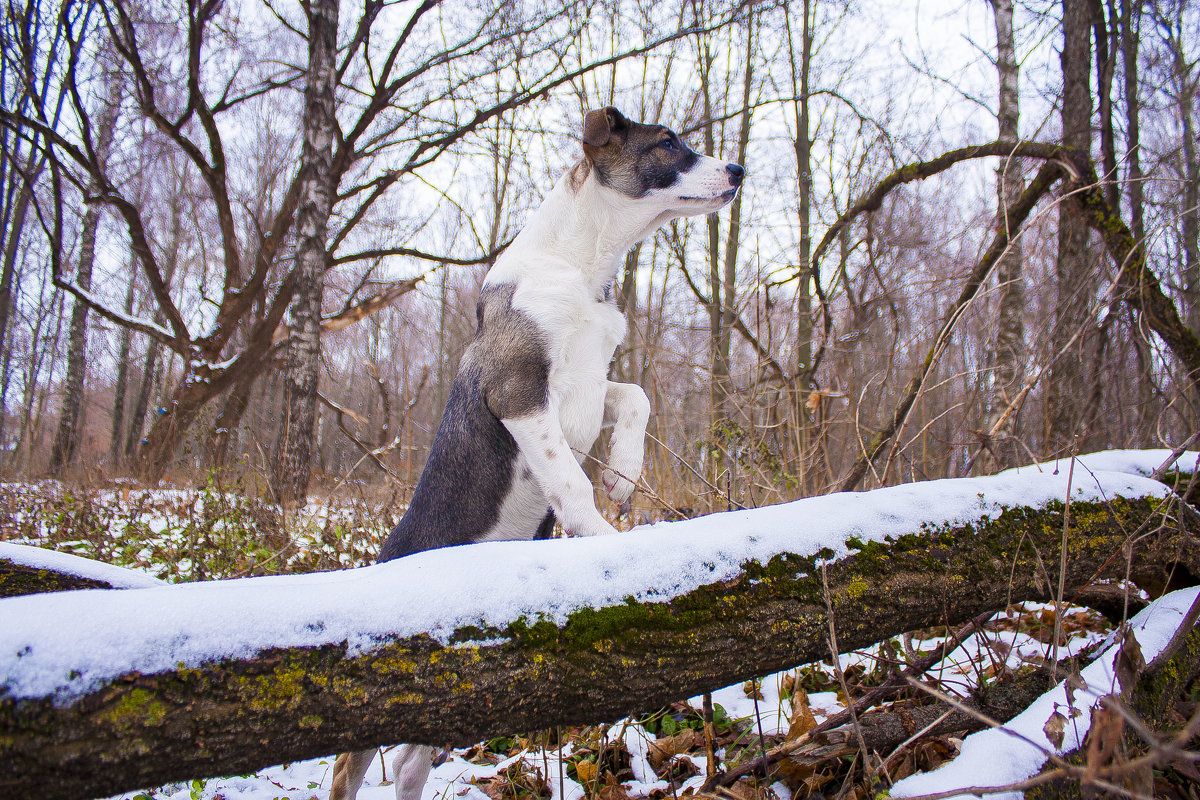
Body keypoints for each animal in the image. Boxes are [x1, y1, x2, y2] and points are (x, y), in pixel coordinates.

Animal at [328, 106, 739, 800]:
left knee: (409, 763)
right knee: (346, 771)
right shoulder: (519, 392)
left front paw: (625, 475)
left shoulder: (590, 388)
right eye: (667, 144)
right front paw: (603, 535)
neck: (580, 266)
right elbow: (571, 483)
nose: (738, 170)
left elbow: (637, 399)